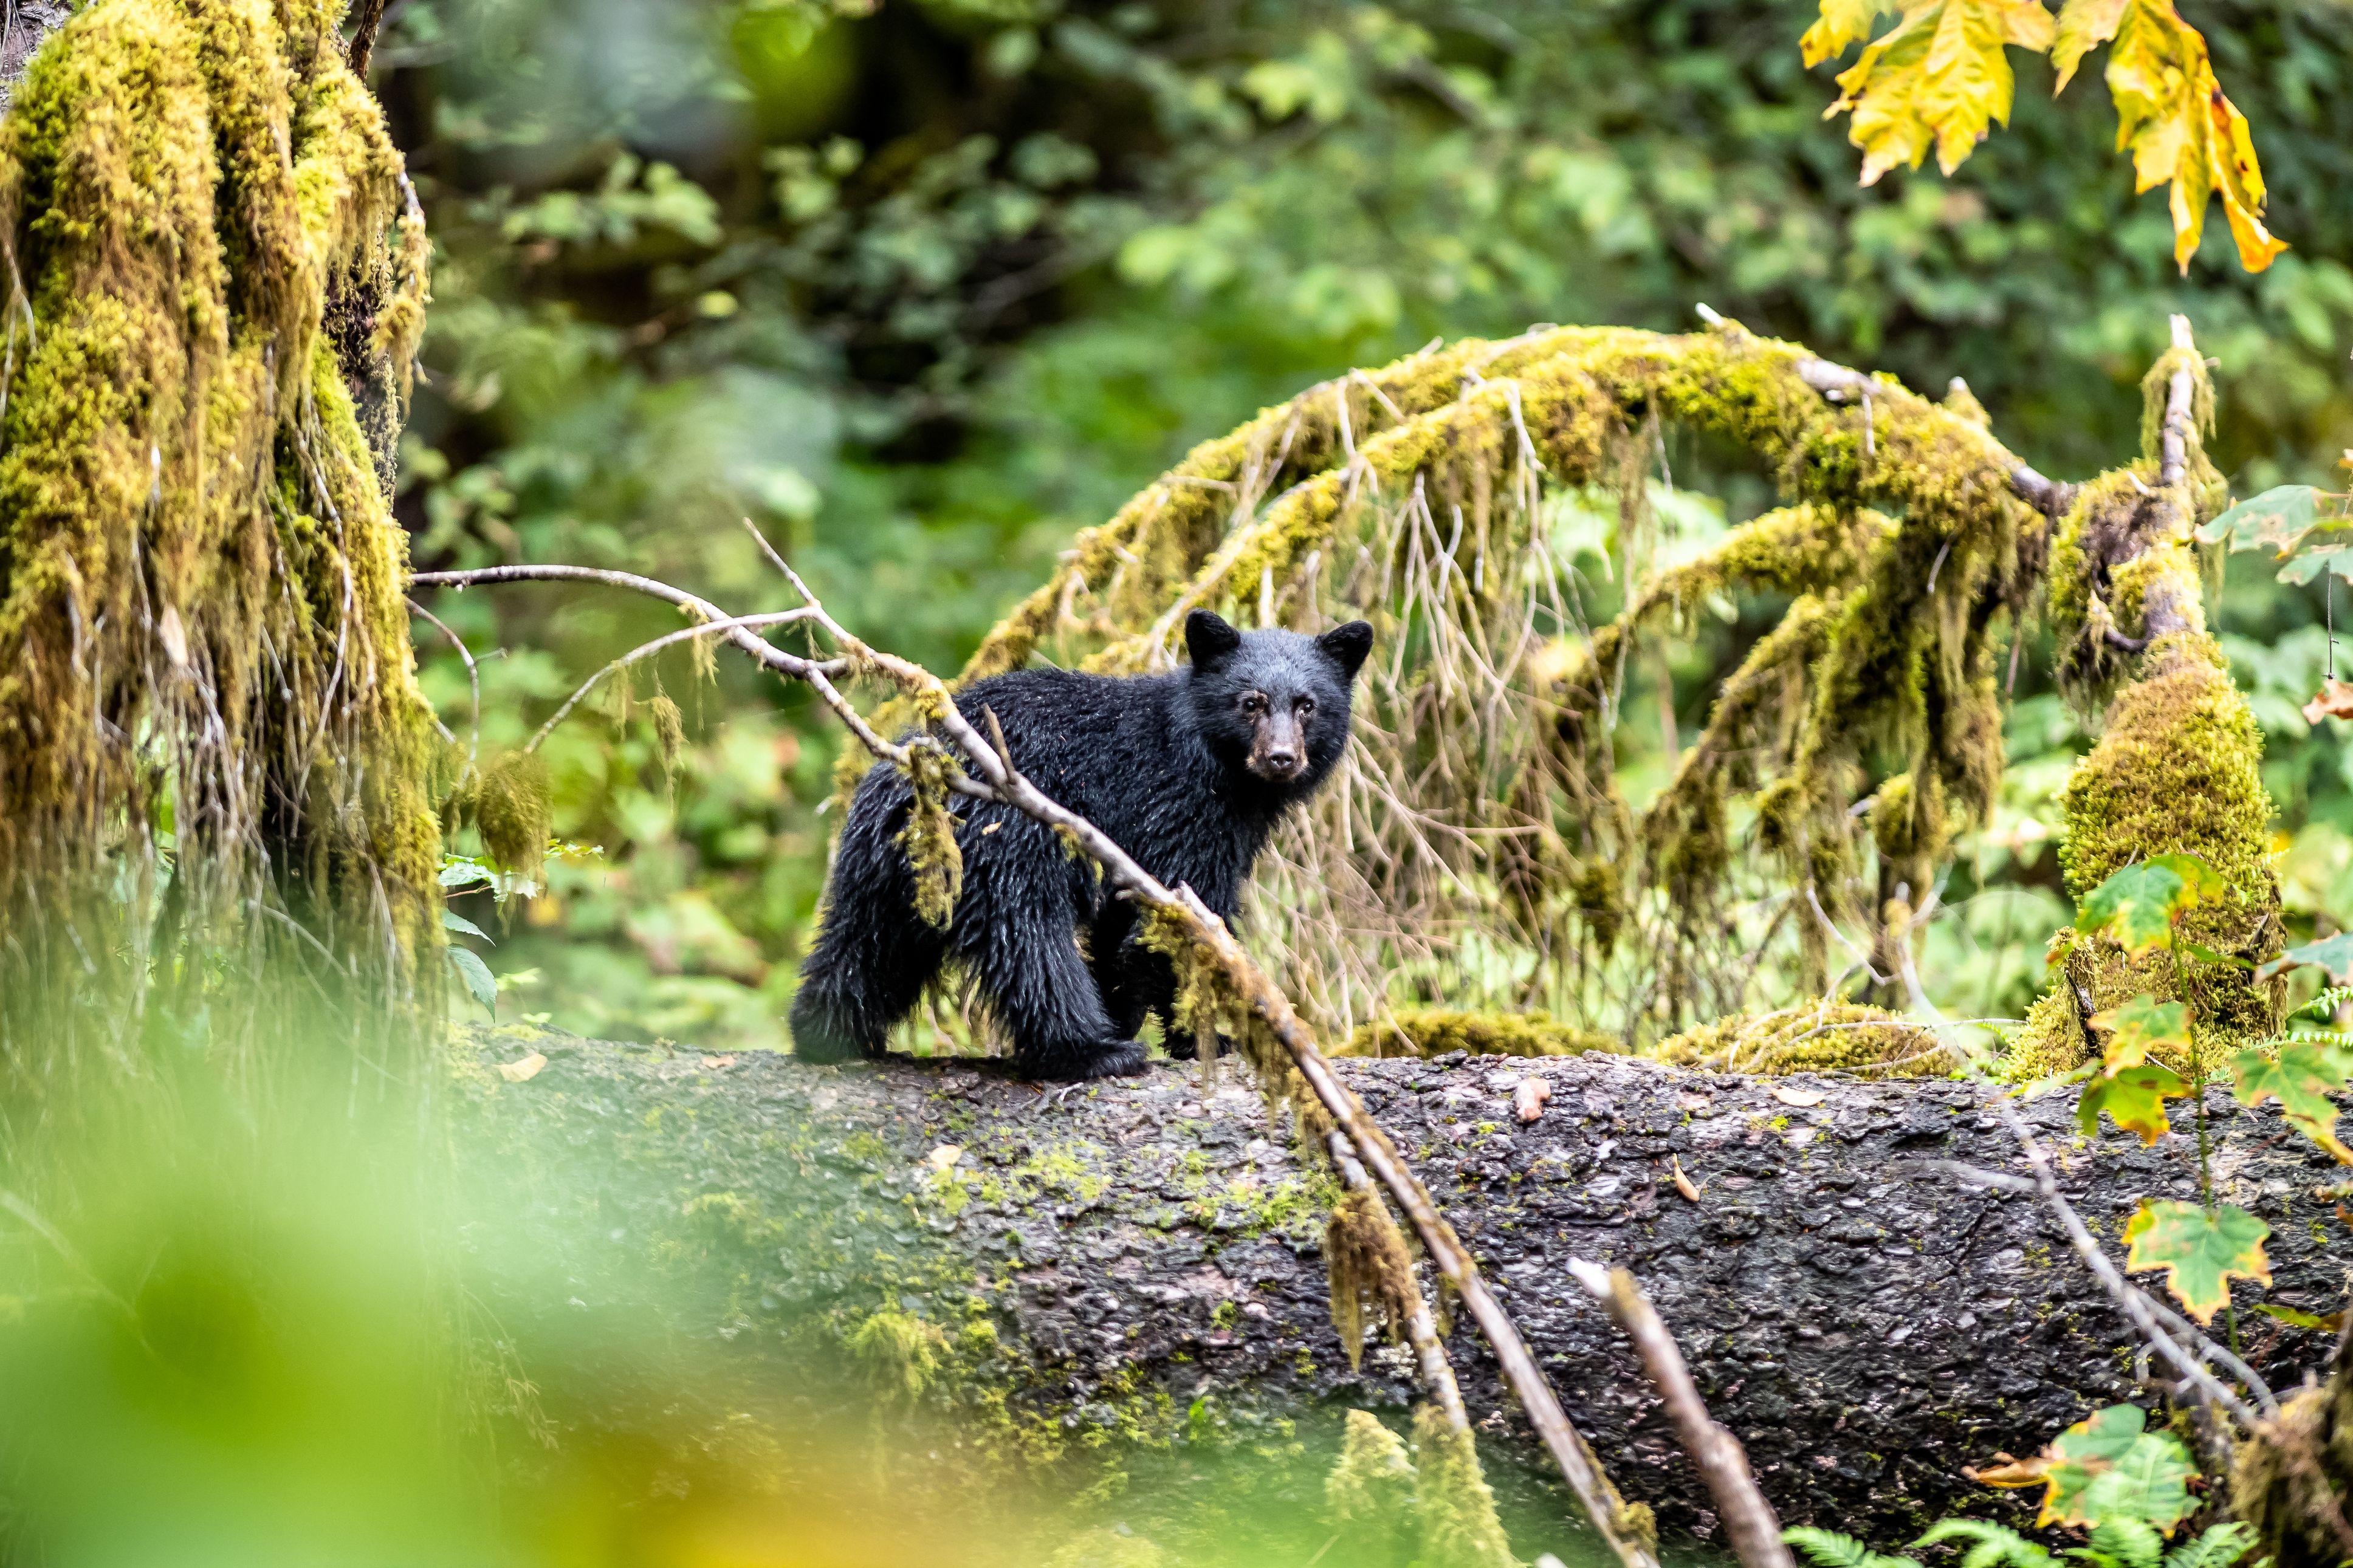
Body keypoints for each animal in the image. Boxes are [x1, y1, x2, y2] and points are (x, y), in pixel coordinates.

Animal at [795, 611, 1374, 1081]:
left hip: (889, 876)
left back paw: (826, 1035)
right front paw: (1202, 1037)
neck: (1221, 770)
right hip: (1007, 844)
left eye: (1307, 706)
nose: (1281, 757)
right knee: (1030, 941)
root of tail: (910, 785)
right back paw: (1092, 1051)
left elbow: (1125, 927)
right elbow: (1176, 920)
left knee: (864, 948)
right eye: (1251, 703)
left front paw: (1135, 1015)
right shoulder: (1179, 807)